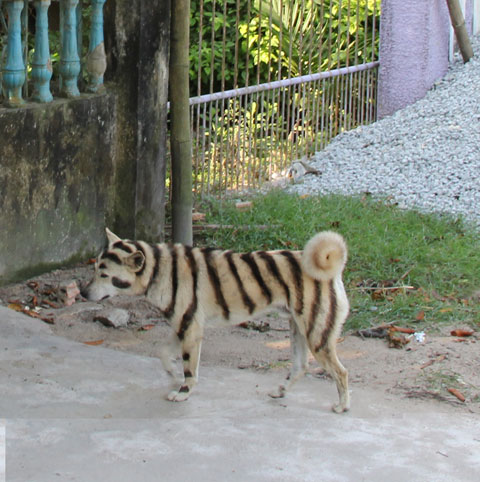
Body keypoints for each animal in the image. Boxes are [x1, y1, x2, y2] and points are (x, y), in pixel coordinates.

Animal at [84, 228, 350, 412]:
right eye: (95, 269)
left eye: (104, 275)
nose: (84, 294)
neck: (159, 269)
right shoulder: (183, 325)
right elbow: (164, 354)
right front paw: (173, 375)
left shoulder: (190, 329)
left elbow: (190, 368)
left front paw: (183, 392)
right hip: (299, 330)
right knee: (300, 367)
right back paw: (281, 391)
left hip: (317, 336)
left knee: (341, 372)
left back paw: (342, 406)